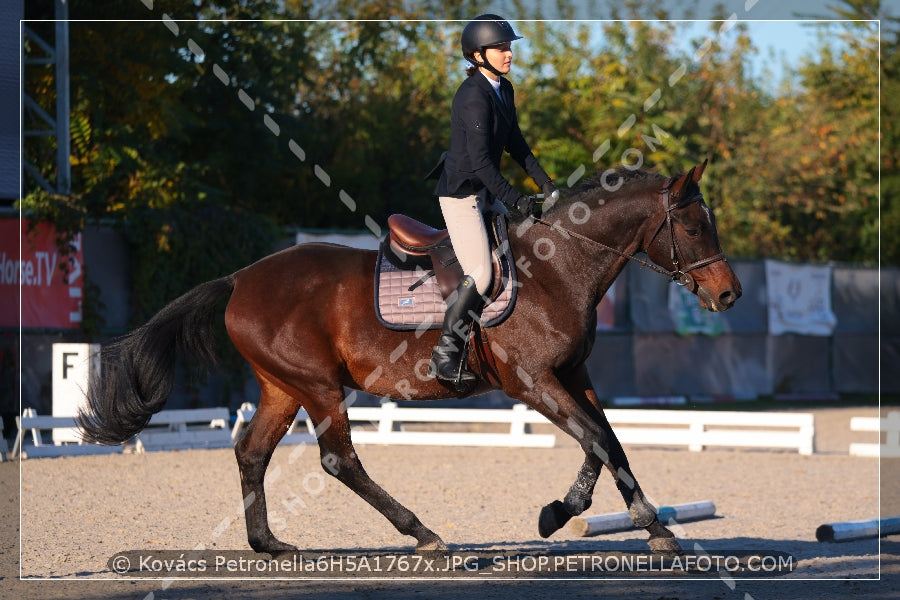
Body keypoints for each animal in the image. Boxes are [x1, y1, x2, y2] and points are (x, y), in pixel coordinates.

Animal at [77, 161, 740, 556]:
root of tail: (240, 278)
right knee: (339, 461)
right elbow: (596, 440)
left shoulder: (573, 374)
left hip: (283, 386)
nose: (729, 294)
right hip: (318, 386)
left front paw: (639, 526)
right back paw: (422, 534)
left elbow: (609, 442)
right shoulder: (532, 382)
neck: (558, 265)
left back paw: (268, 543)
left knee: (252, 452)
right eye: (694, 228)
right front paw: (578, 515)